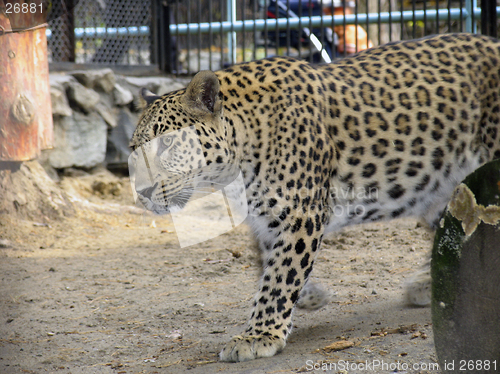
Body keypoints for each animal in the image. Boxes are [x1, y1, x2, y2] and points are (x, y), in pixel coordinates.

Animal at [128, 33, 500, 360]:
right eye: (134, 150)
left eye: (167, 143)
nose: (142, 192)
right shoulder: (267, 219)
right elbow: (268, 262)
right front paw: (309, 297)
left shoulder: (300, 214)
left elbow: (281, 274)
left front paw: (258, 335)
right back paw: (427, 283)